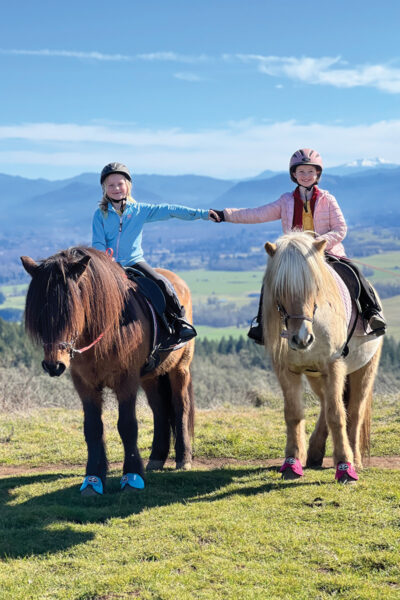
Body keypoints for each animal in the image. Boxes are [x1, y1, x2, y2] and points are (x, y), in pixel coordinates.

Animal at [21, 246, 195, 494]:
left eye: (70, 309)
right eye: (40, 313)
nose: (54, 365)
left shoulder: (126, 382)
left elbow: (128, 426)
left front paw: (132, 477)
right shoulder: (85, 385)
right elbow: (93, 428)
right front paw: (93, 480)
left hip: (179, 368)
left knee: (181, 406)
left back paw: (183, 458)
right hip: (151, 377)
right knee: (159, 409)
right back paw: (156, 458)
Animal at [260, 232, 382, 486]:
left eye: (314, 286)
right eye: (279, 290)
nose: (301, 339)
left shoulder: (333, 366)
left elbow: (337, 415)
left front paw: (345, 467)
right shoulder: (287, 370)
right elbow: (294, 413)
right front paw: (291, 463)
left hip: (364, 369)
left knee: (354, 411)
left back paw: (355, 458)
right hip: (316, 375)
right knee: (327, 403)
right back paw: (315, 452)